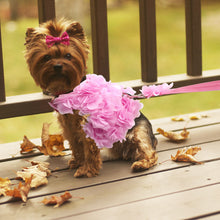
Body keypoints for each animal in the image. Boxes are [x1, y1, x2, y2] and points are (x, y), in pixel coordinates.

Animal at [24, 18, 158, 177]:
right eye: (47, 57)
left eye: (68, 56)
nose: (57, 66)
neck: (69, 90)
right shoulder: (69, 126)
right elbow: (76, 146)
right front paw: (78, 162)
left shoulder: (88, 125)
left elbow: (89, 150)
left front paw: (87, 169)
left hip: (138, 132)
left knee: (149, 152)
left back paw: (141, 164)